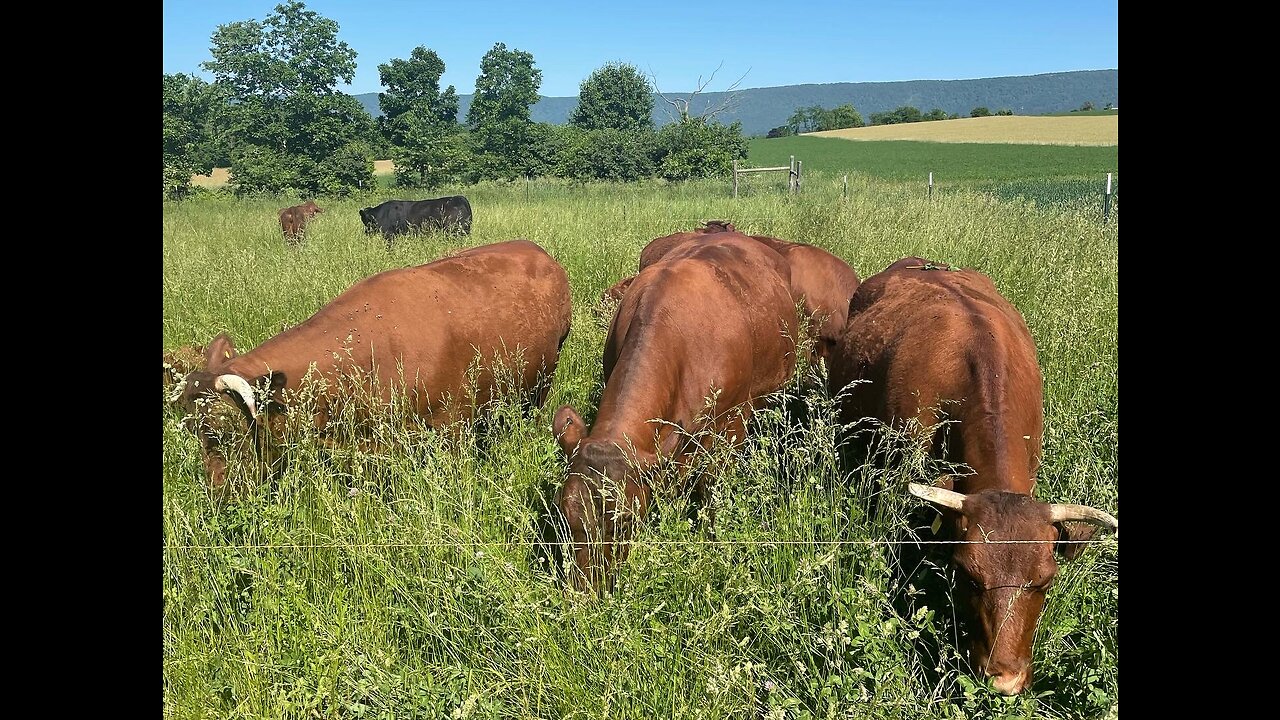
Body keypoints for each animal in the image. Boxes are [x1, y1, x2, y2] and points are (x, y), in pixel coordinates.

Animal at [172, 238, 573, 489]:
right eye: (194, 432)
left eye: (225, 432)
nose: (219, 497)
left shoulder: (453, 427)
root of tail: (535, 250)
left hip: (541, 381)